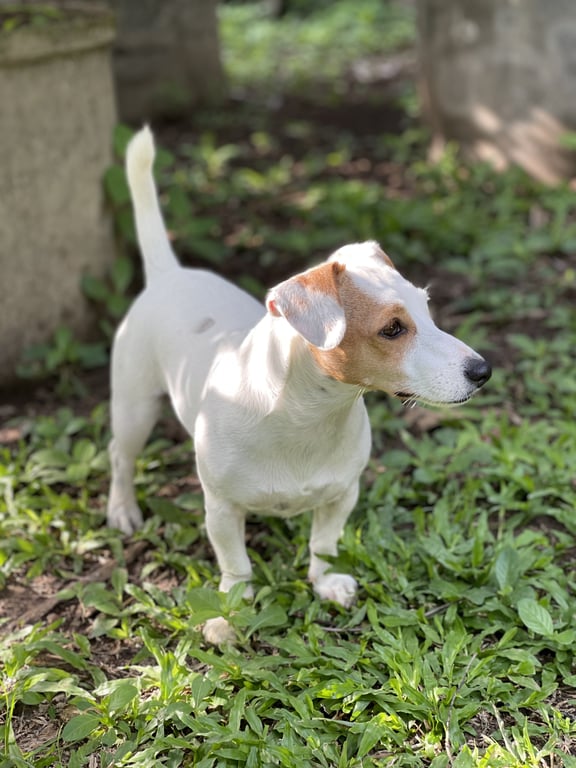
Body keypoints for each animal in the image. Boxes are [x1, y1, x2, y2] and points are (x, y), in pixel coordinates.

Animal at [107, 126, 491, 644]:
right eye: (393, 329)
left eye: (428, 308)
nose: (482, 370)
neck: (306, 416)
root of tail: (170, 274)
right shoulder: (221, 508)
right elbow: (236, 566)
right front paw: (231, 612)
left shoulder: (343, 493)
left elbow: (324, 543)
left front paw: (325, 582)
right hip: (135, 406)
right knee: (121, 455)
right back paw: (122, 508)